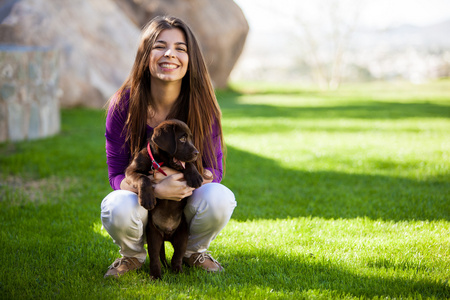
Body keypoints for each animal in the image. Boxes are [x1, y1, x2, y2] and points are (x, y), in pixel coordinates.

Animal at [126, 119, 204, 278]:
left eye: (190, 138)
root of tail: (167, 236)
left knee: (177, 256)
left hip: (182, 235)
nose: (197, 153)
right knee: (155, 256)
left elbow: (187, 164)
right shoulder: (131, 171)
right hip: (154, 236)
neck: (161, 161)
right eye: (182, 139)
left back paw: (178, 272)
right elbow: (143, 178)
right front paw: (148, 199)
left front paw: (195, 176)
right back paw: (156, 275)